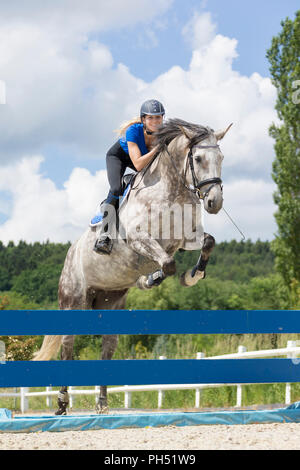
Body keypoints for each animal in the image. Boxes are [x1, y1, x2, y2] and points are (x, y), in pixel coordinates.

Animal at [34, 119, 233, 414]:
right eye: (197, 159)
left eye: (221, 158)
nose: (214, 202)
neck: (171, 190)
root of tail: (70, 254)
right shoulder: (140, 240)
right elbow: (168, 263)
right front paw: (151, 279)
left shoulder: (186, 239)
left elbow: (207, 242)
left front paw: (191, 276)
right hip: (73, 300)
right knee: (67, 346)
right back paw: (61, 403)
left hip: (110, 302)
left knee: (107, 348)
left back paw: (102, 405)